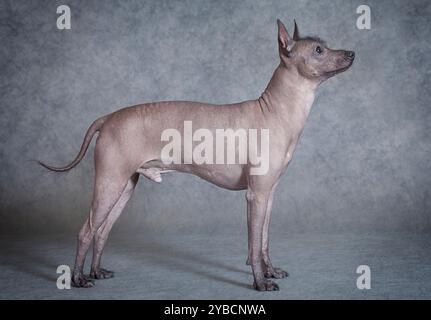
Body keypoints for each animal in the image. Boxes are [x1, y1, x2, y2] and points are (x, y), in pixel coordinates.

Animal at [39, 18, 354, 292]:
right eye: (318, 50)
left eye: (325, 45)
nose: (351, 53)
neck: (276, 110)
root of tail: (107, 118)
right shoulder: (256, 196)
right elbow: (253, 245)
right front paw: (260, 282)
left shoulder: (269, 194)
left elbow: (263, 240)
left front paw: (270, 270)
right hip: (109, 183)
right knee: (86, 231)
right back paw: (78, 278)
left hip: (124, 186)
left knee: (102, 231)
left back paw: (96, 271)